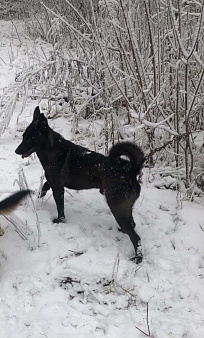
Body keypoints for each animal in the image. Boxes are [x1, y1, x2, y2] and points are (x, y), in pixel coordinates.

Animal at [15, 107, 145, 262]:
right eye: (23, 136)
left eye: (30, 138)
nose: (16, 151)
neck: (53, 149)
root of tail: (131, 170)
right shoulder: (53, 181)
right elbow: (44, 187)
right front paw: (39, 196)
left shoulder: (58, 187)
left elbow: (60, 206)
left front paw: (60, 220)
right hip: (124, 208)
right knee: (132, 225)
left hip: (117, 207)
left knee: (136, 237)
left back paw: (138, 258)